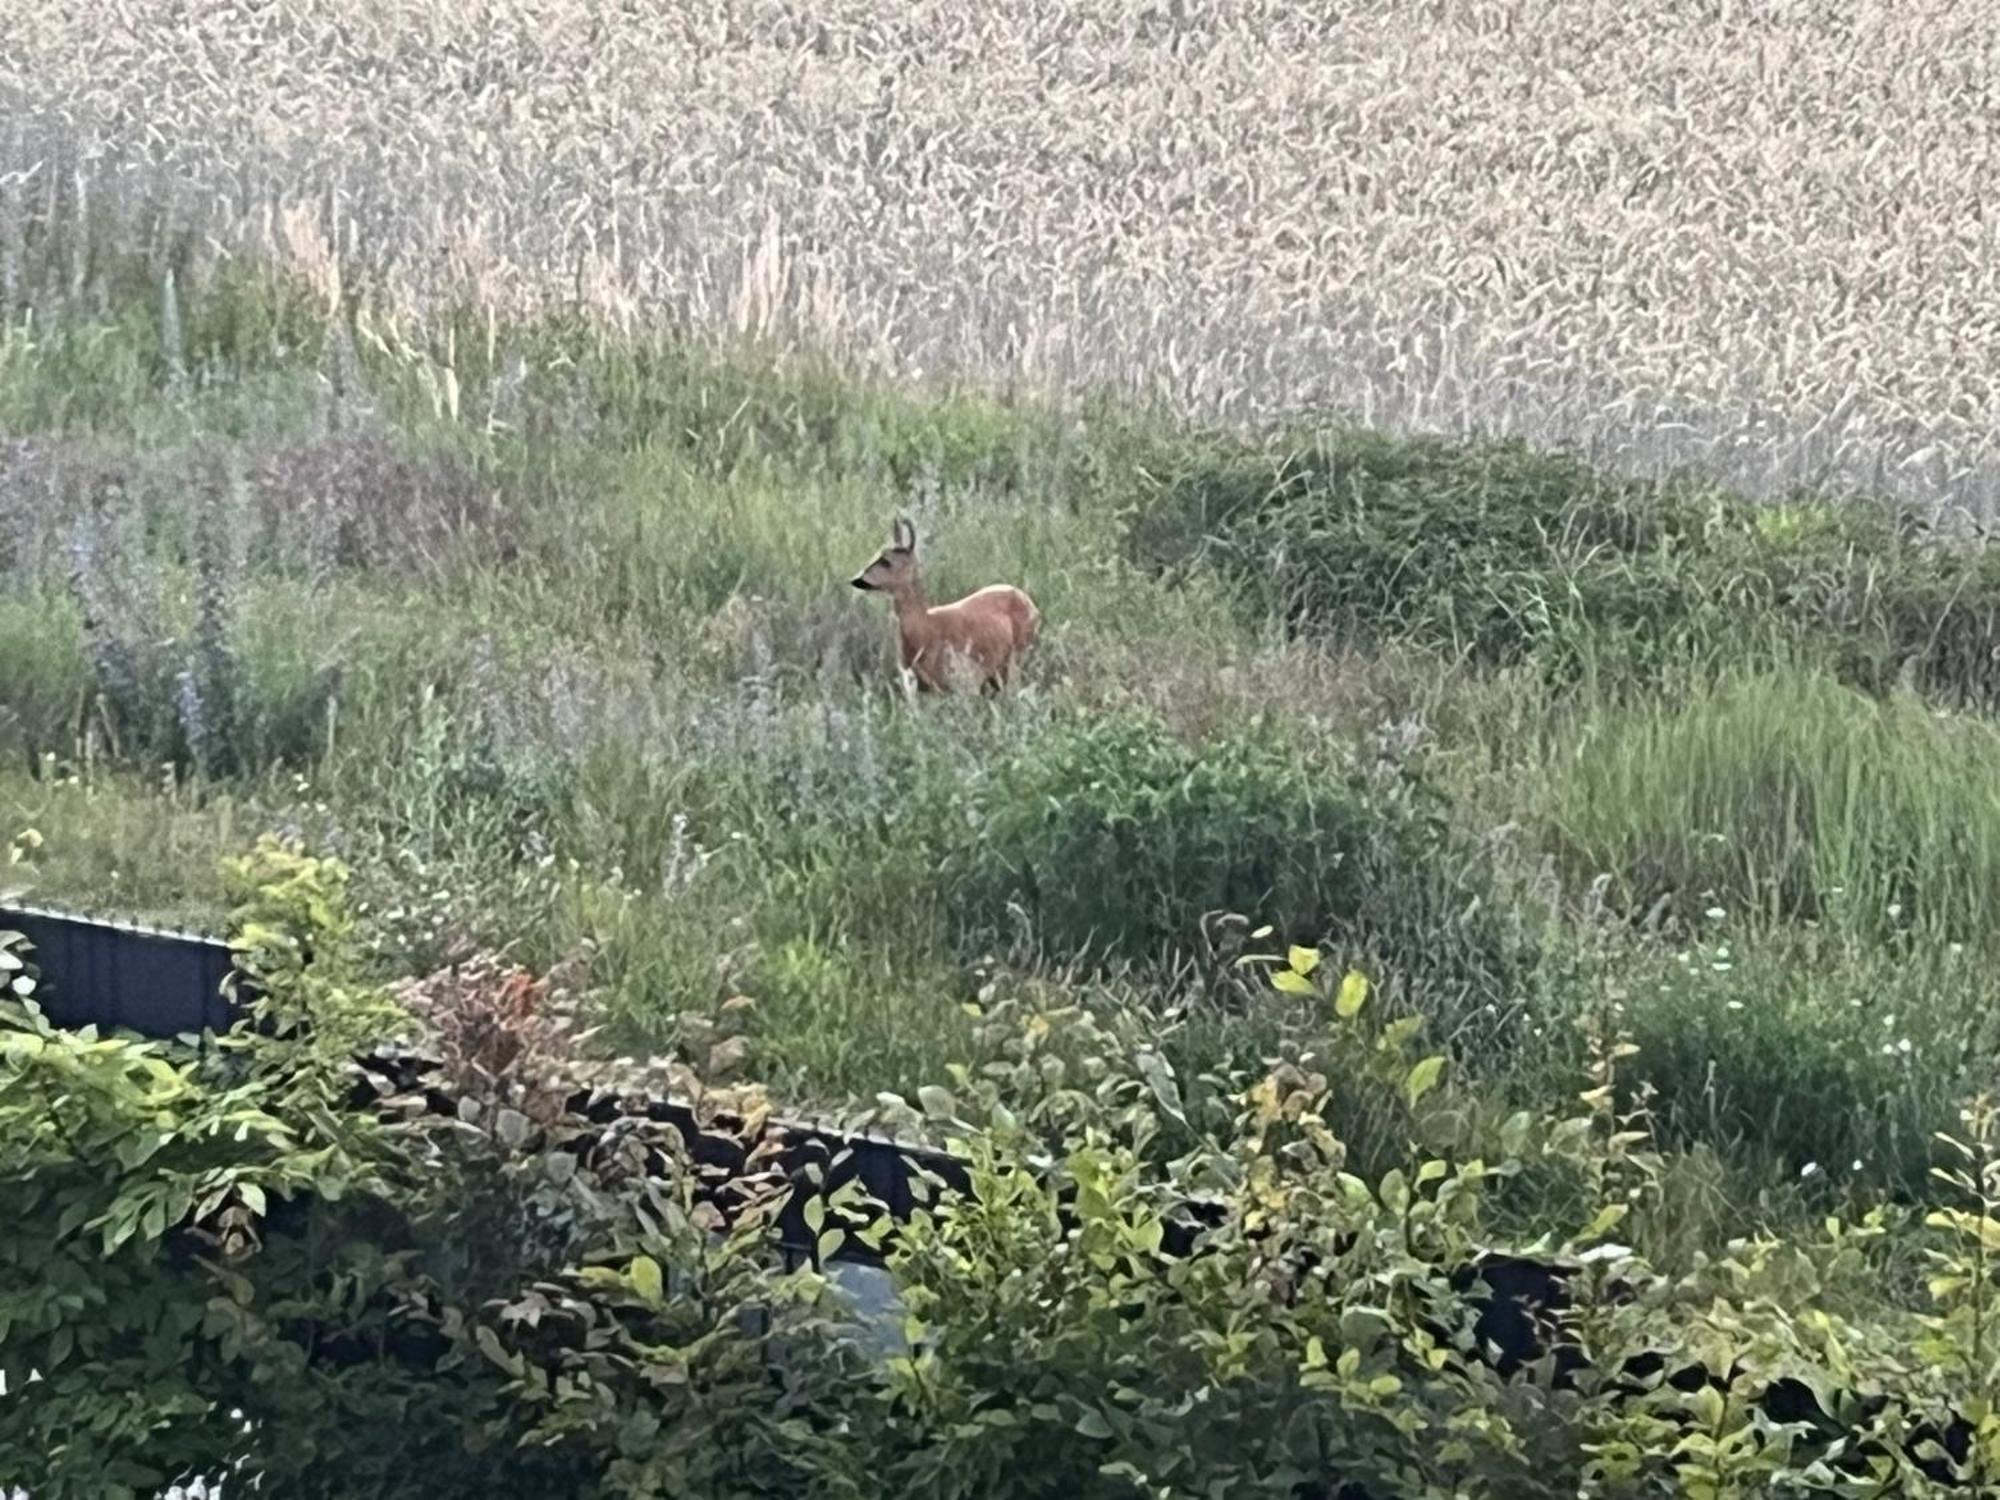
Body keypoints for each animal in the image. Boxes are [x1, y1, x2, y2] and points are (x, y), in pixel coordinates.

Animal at [852, 516, 1040, 692]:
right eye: (878, 555)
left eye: (886, 561)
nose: (857, 580)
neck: (925, 628)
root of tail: (1030, 603)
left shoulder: (965, 681)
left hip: (1016, 655)